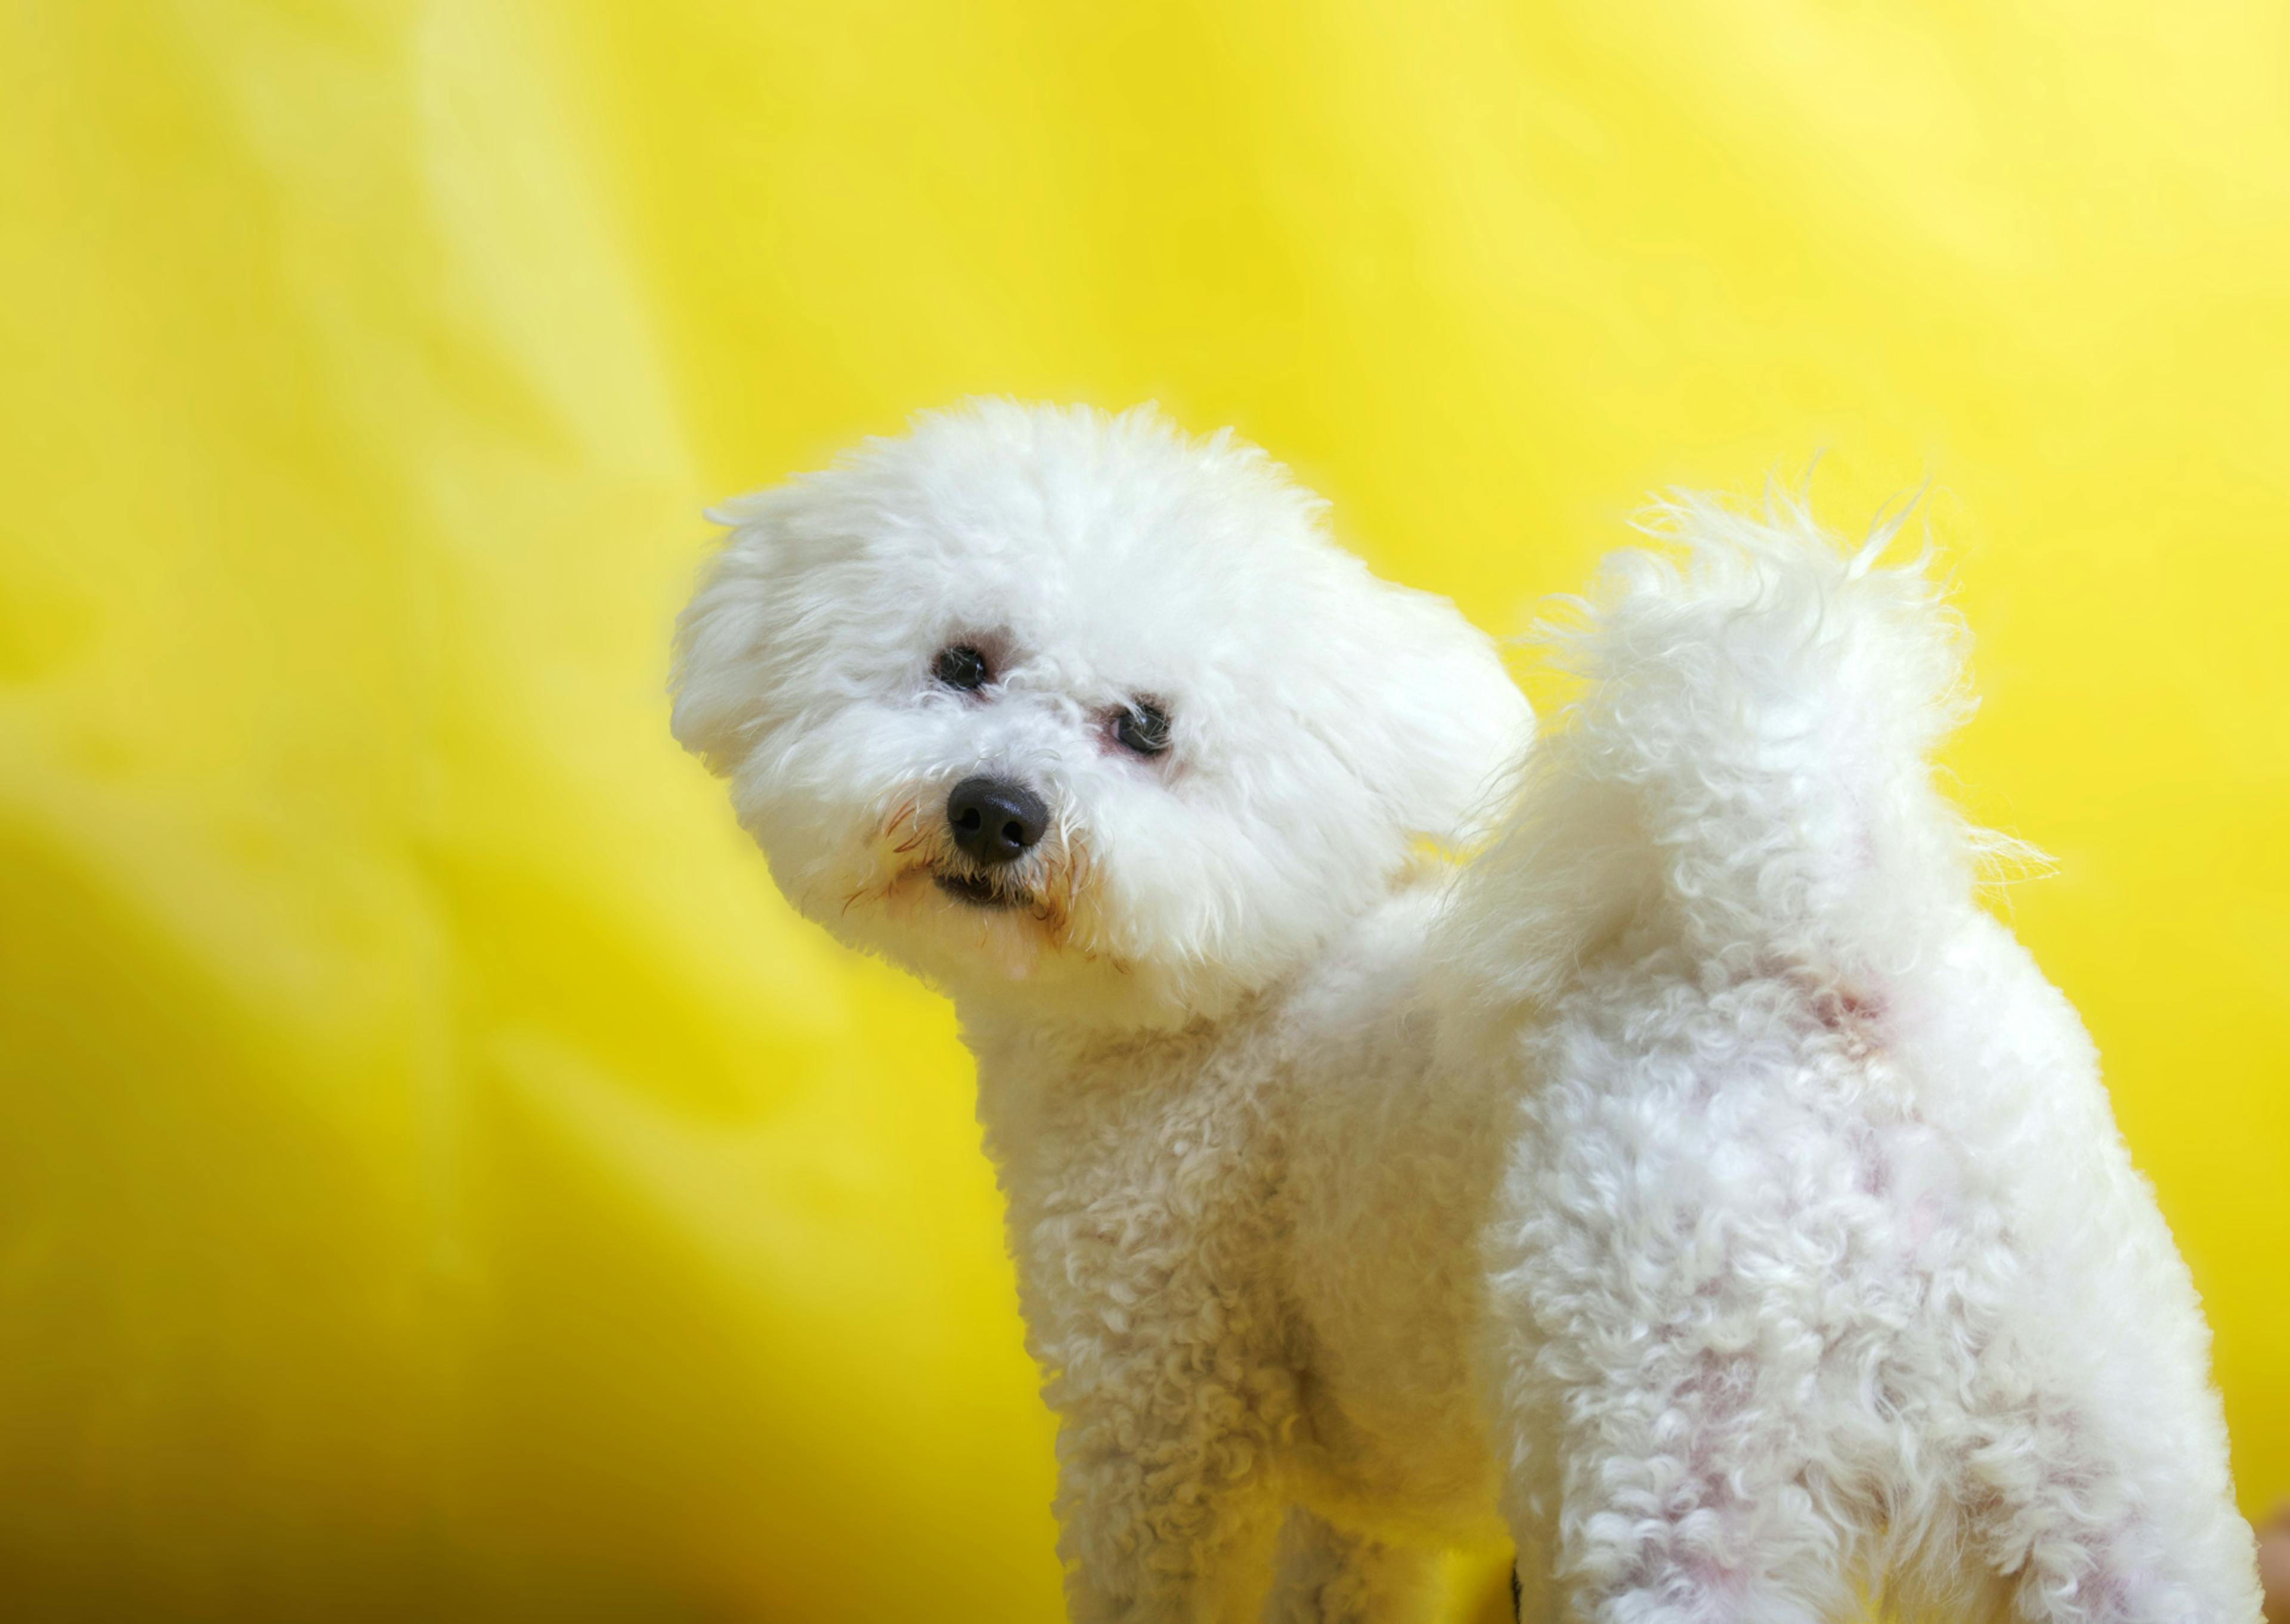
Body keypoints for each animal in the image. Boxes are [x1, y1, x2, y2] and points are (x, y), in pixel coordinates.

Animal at [669, 403, 2262, 1622]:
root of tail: (1824, 950)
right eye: (962, 663)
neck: (1228, 1005)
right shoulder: (1359, 1500)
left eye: (1143, 728)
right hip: (2108, 1438)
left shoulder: (1161, 1410)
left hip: (1670, 1451)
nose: (997, 812)